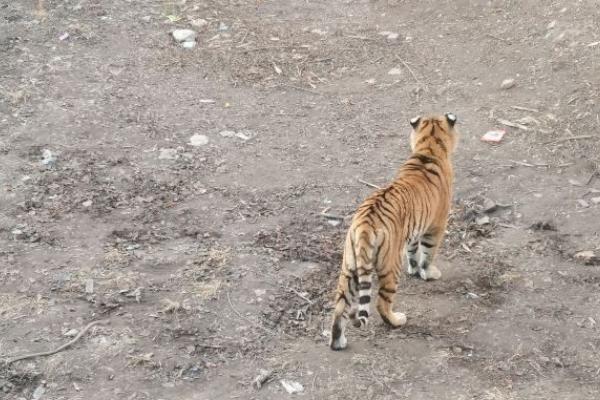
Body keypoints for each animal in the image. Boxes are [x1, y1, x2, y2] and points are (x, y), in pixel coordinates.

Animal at [330, 112, 458, 350]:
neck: (428, 148)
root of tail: (364, 225)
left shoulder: (414, 230)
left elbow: (413, 252)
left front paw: (414, 269)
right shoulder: (436, 226)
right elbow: (427, 254)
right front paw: (429, 273)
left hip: (348, 267)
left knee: (340, 307)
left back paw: (338, 342)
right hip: (390, 266)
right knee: (381, 303)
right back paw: (397, 320)